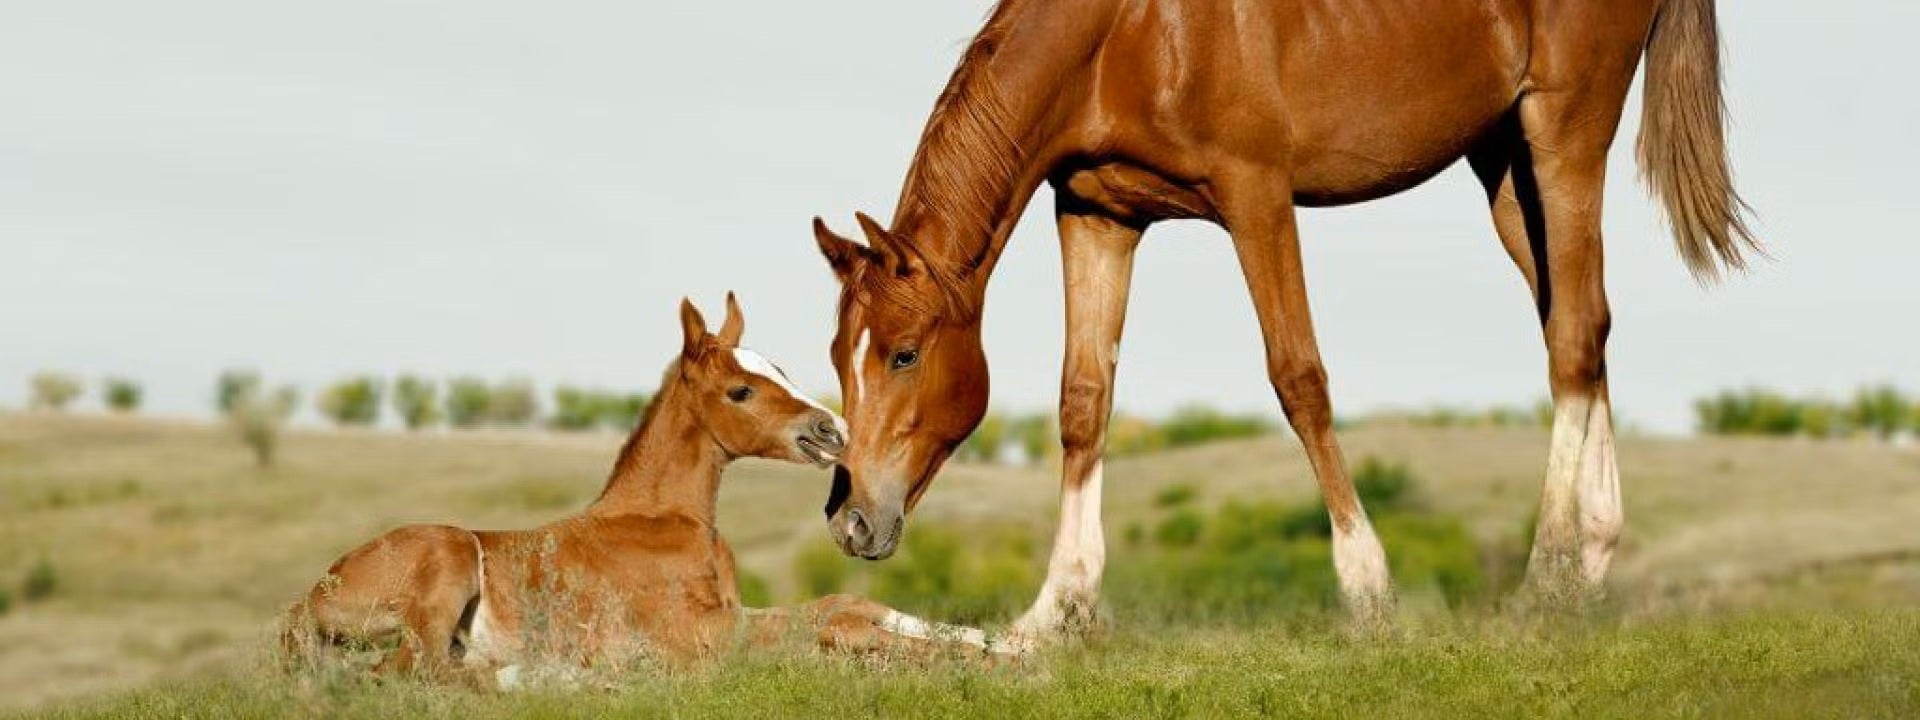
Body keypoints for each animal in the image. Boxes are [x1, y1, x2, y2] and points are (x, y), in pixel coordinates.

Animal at [282, 294, 993, 682]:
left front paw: (997, 646)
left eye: (781, 368)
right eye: (740, 390)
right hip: (447, 558)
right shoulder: (705, 636)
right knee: (415, 674)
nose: (832, 430)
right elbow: (836, 623)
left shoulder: (734, 615)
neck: (661, 523)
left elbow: (843, 604)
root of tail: (306, 605)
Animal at [809, 0, 1758, 648]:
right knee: (1583, 326)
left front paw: (1369, 590)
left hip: (1564, 128)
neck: (1126, 33)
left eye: (903, 355)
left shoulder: (1257, 194)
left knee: (1571, 338)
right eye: (838, 356)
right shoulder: (1096, 212)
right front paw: (1055, 608)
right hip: (1502, 160)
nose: (852, 520)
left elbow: (1299, 377)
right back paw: (1590, 562)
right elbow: (1084, 401)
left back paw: (1546, 575)